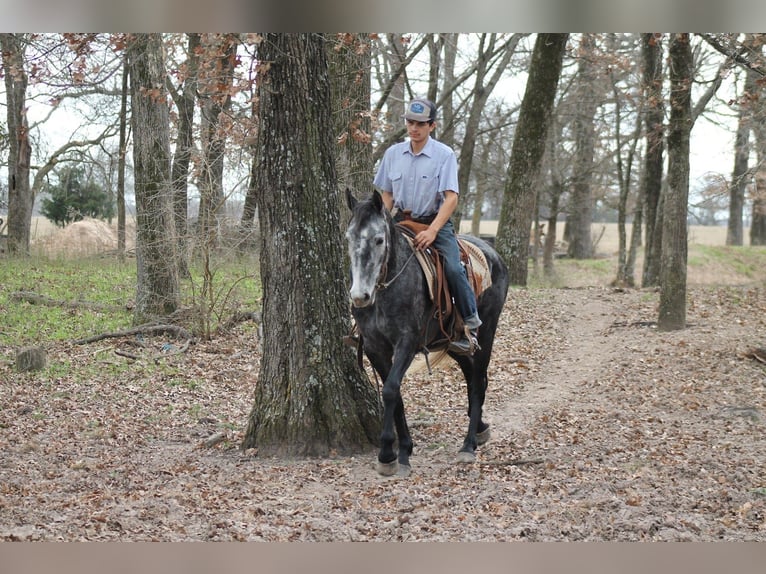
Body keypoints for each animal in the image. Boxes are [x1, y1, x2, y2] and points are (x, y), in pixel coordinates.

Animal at [345, 188, 510, 476]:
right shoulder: (375, 347)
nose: (359, 296)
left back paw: (468, 445)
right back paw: (480, 430)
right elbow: (394, 393)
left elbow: (390, 390)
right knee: (471, 375)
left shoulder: (407, 343)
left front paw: (388, 453)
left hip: (487, 331)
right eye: (348, 237)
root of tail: (493, 253)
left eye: (379, 239)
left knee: (479, 381)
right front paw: (403, 449)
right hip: (453, 342)